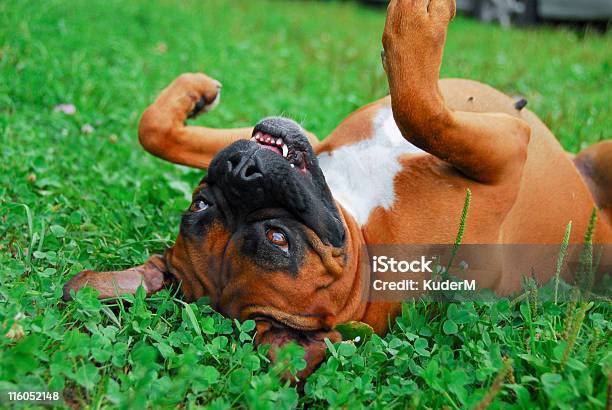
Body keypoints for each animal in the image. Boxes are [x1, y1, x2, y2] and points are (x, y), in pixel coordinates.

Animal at [63, 0, 612, 378]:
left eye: (199, 204)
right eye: (280, 241)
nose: (242, 170)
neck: (363, 238)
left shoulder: (313, 142)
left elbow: (153, 129)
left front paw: (191, 95)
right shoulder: (505, 157)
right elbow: (420, 112)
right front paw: (419, 21)